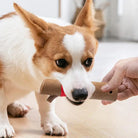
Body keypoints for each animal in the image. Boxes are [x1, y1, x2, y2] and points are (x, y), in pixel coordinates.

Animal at [0, 0, 97, 136]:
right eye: (60, 62)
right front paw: (2, 125)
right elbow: (1, 105)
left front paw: (52, 122)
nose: (81, 94)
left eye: (89, 61)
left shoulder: (46, 82)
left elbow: (47, 104)